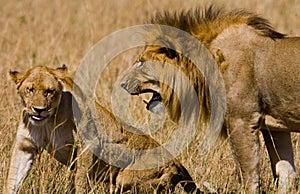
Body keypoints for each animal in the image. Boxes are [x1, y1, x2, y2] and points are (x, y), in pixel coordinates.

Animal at [5, 65, 200, 194]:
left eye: (49, 91)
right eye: (30, 89)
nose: (39, 109)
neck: (47, 121)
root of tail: (177, 162)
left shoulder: (87, 145)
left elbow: (80, 180)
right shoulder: (25, 146)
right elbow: (13, 178)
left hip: (129, 178)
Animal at [120, 5, 300, 193]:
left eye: (141, 61)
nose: (122, 83)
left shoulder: (241, 119)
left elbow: (248, 174)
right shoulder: (276, 127)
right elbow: (285, 173)